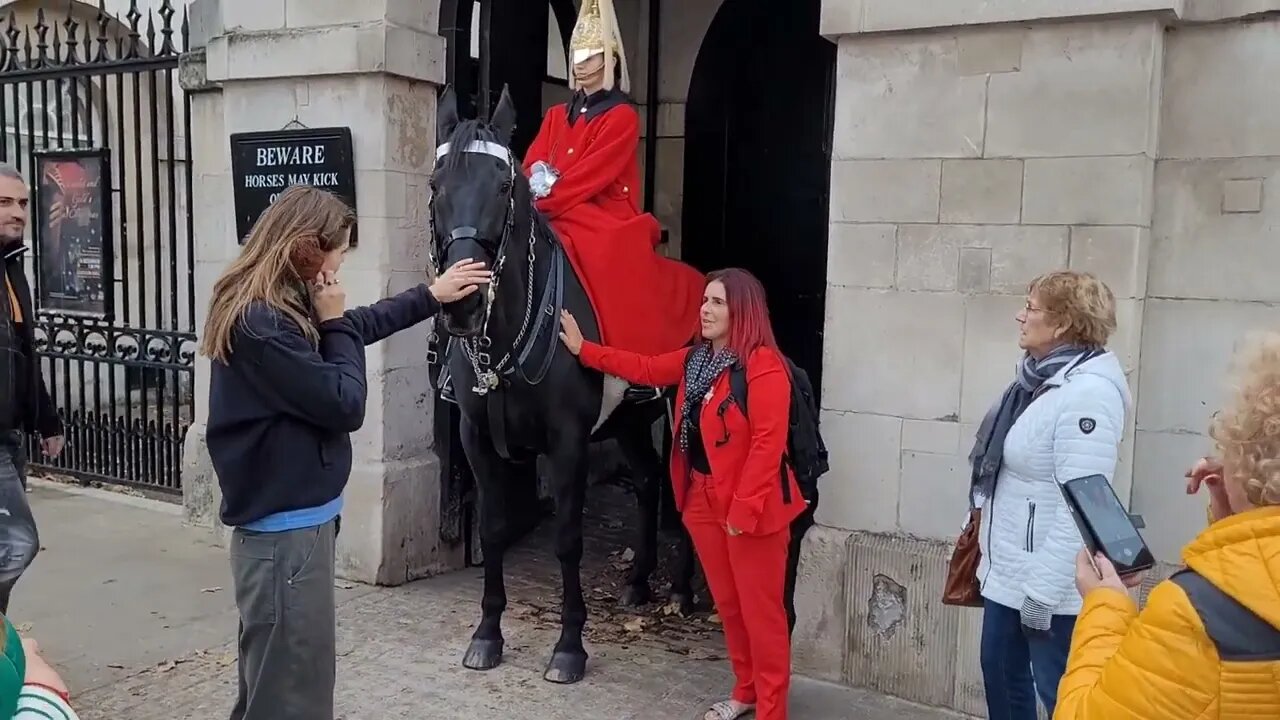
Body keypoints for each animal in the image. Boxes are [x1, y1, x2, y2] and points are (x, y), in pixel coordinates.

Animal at [424, 87, 696, 681]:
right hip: (630, 423)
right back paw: (638, 582)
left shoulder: (568, 443)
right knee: (647, 481)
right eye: (436, 187)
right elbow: (494, 528)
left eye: (504, 187)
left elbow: (569, 540)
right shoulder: (477, 440)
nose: (462, 305)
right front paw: (487, 634)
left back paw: (684, 591)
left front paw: (570, 645)